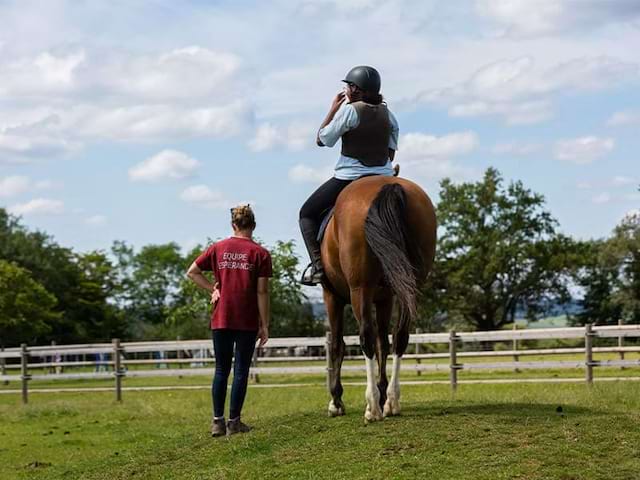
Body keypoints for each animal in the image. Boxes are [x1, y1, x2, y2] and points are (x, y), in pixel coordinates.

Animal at [322, 174, 438, 422]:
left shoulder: (332, 296)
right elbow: (383, 343)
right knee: (400, 337)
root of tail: (388, 185)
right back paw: (391, 401)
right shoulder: (385, 299)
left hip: (360, 289)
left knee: (365, 336)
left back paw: (373, 406)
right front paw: (384, 392)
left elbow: (337, 345)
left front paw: (336, 401)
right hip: (408, 286)